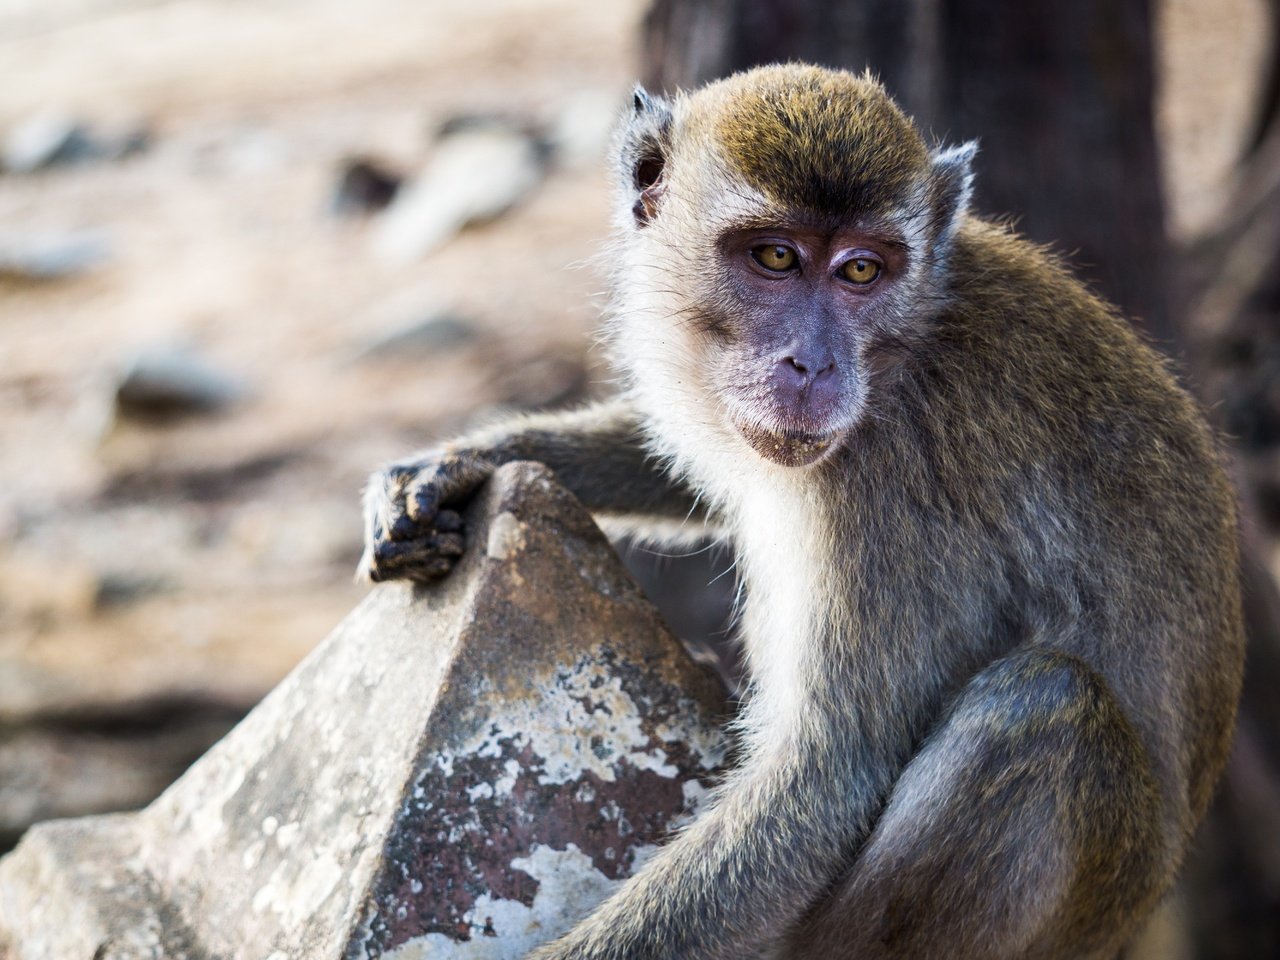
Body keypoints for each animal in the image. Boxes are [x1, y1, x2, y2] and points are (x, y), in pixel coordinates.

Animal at [360, 64, 1249, 957]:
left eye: (861, 272)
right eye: (777, 258)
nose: (813, 366)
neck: (899, 356)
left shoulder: (891, 490)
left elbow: (826, 776)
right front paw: (467, 461)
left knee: (1043, 706)